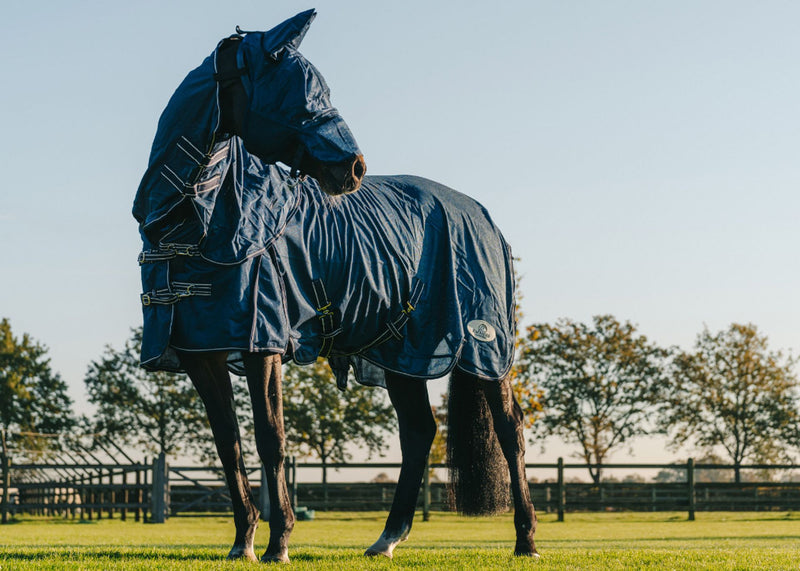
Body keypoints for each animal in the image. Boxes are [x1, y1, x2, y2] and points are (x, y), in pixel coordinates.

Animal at [133, 10, 537, 562]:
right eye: (299, 93)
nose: (355, 168)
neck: (203, 223)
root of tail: (482, 215)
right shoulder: (202, 353)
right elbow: (228, 445)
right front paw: (243, 543)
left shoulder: (263, 344)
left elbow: (271, 439)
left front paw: (278, 543)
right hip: (402, 354)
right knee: (419, 433)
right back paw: (386, 540)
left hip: (484, 349)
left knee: (509, 429)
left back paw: (526, 540)